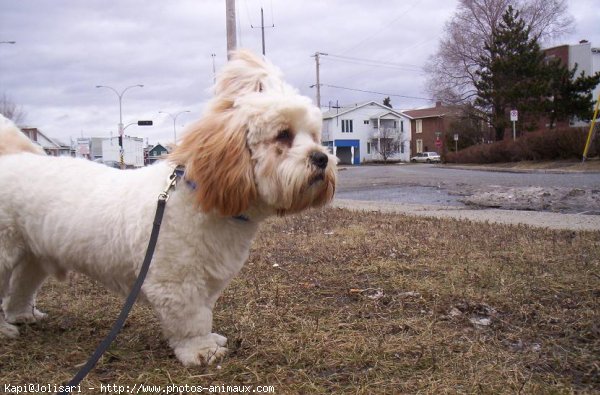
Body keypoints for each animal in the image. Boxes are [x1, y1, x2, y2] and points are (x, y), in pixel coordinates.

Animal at [0, 51, 338, 366]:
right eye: (283, 135)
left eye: (314, 136)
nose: (322, 157)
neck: (199, 197)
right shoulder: (176, 282)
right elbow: (190, 320)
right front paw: (200, 349)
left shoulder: (207, 281)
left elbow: (204, 312)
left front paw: (209, 338)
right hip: (5, 252)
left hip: (34, 256)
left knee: (20, 288)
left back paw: (22, 315)